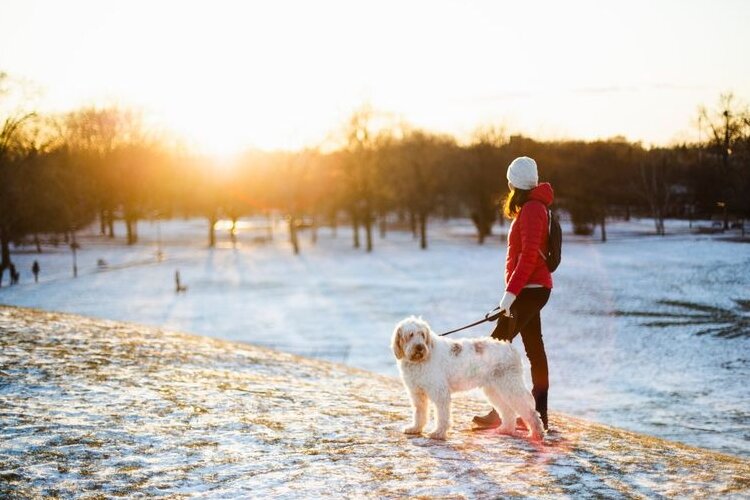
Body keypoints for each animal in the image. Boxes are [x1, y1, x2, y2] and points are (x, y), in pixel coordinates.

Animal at [394, 316, 548, 442]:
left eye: (422, 334)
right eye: (410, 335)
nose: (420, 347)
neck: (422, 359)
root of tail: (511, 348)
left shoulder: (440, 393)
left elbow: (442, 415)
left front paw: (438, 433)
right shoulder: (417, 393)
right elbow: (419, 413)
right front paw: (415, 428)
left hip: (510, 385)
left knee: (530, 412)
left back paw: (536, 434)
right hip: (495, 390)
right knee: (508, 411)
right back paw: (505, 429)